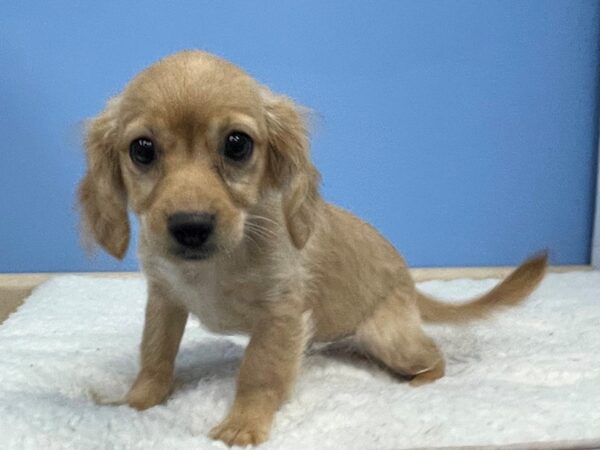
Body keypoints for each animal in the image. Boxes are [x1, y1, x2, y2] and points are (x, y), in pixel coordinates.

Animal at [79, 51, 548, 444]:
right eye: (142, 149)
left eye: (237, 144)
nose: (190, 227)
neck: (213, 265)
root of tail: (408, 283)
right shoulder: (164, 300)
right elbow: (155, 354)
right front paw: (136, 402)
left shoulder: (281, 313)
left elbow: (259, 372)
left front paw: (243, 423)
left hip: (389, 337)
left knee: (435, 355)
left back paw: (419, 381)